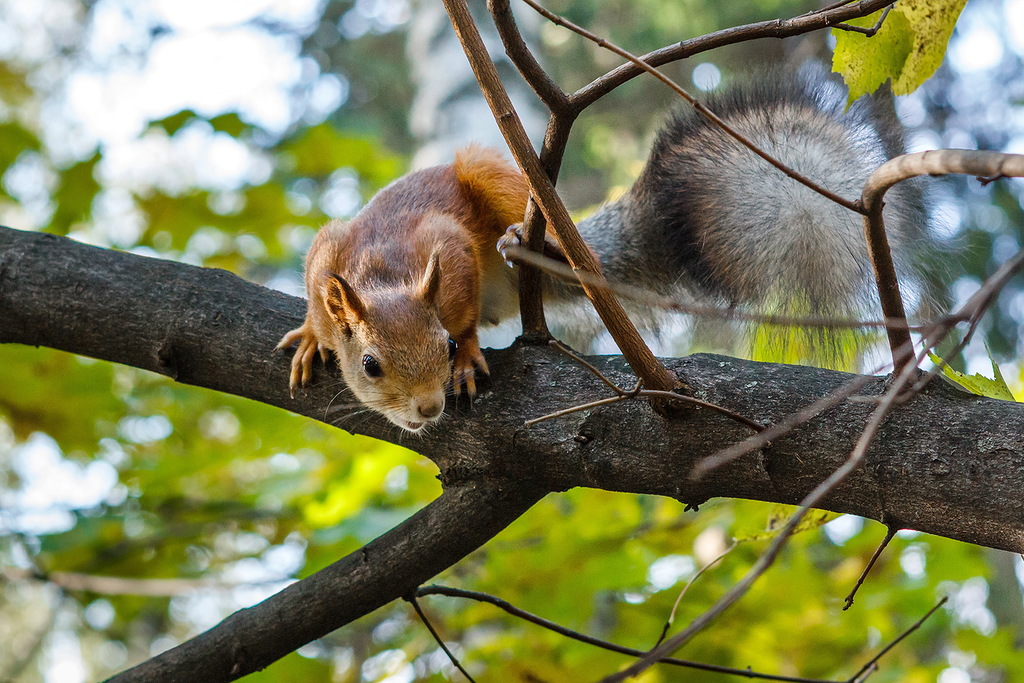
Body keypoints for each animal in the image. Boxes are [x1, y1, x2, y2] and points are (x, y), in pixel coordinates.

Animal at [278, 70, 929, 432]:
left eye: (438, 345)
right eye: (369, 365)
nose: (428, 410)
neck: (383, 271)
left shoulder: (449, 246)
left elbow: (459, 306)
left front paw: (466, 355)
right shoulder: (329, 250)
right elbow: (318, 288)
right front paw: (312, 335)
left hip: (497, 177)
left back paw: (529, 244)